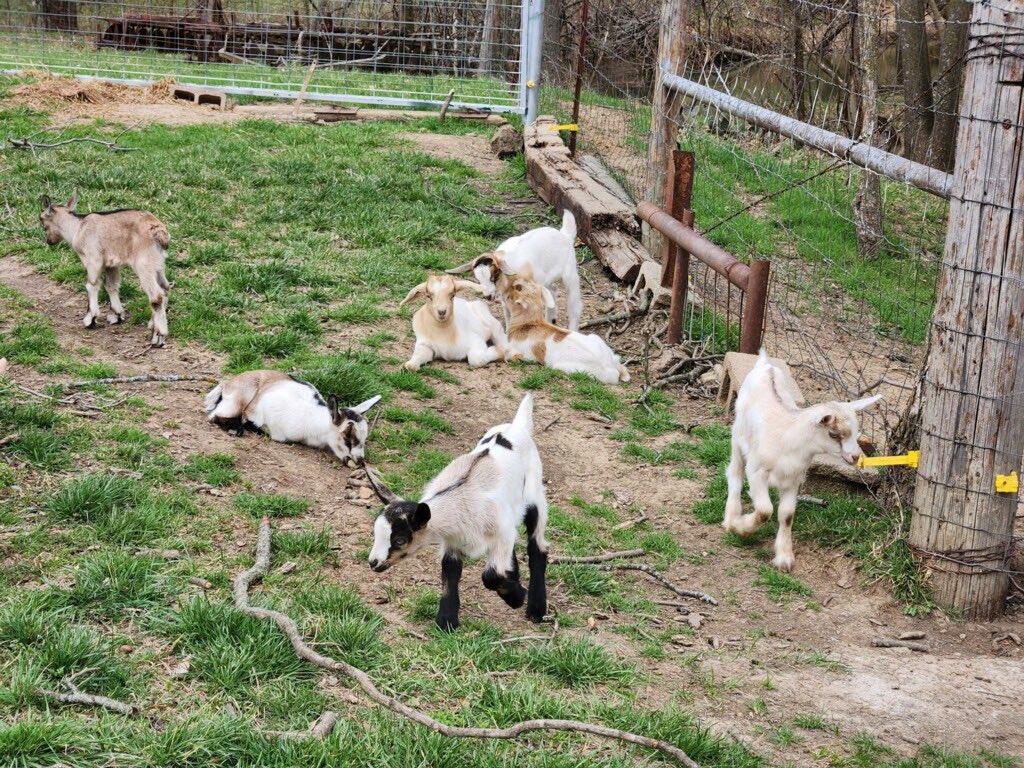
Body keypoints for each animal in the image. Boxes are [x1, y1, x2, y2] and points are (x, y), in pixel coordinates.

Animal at [39, 191, 171, 347]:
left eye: (41, 220)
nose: (49, 241)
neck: (77, 228)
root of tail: (159, 231)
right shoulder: (111, 264)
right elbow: (111, 285)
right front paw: (116, 315)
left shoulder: (93, 260)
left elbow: (92, 285)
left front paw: (90, 319)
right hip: (158, 264)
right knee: (165, 288)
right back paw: (152, 324)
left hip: (144, 264)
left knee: (156, 296)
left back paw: (158, 336)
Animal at [204, 369, 381, 468]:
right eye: (347, 437)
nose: (360, 461)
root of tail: (228, 383)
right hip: (239, 396)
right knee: (216, 415)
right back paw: (236, 429)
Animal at [366, 394, 548, 631]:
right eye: (375, 533)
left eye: (399, 540)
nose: (373, 563)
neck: (461, 496)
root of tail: (517, 426)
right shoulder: (453, 540)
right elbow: (450, 572)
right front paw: (446, 621)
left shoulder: (503, 532)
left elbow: (490, 575)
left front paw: (516, 598)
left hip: (535, 495)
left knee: (537, 548)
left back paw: (536, 608)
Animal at [447, 210, 583, 331]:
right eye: (478, 279)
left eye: (494, 275)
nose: (488, 296)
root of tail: (564, 235)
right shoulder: (505, 298)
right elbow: (509, 316)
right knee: (552, 292)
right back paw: (551, 320)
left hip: (570, 274)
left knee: (574, 306)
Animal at [723, 350, 881, 572]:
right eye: (834, 434)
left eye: (857, 431)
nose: (855, 457)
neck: (789, 440)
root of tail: (765, 365)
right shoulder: (757, 471)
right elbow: (765, 510)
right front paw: (742, 528)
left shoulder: (793, 479)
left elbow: (787, 515)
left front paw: (784, 557)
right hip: (738, 435)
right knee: (734, 473)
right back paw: (730, 519)